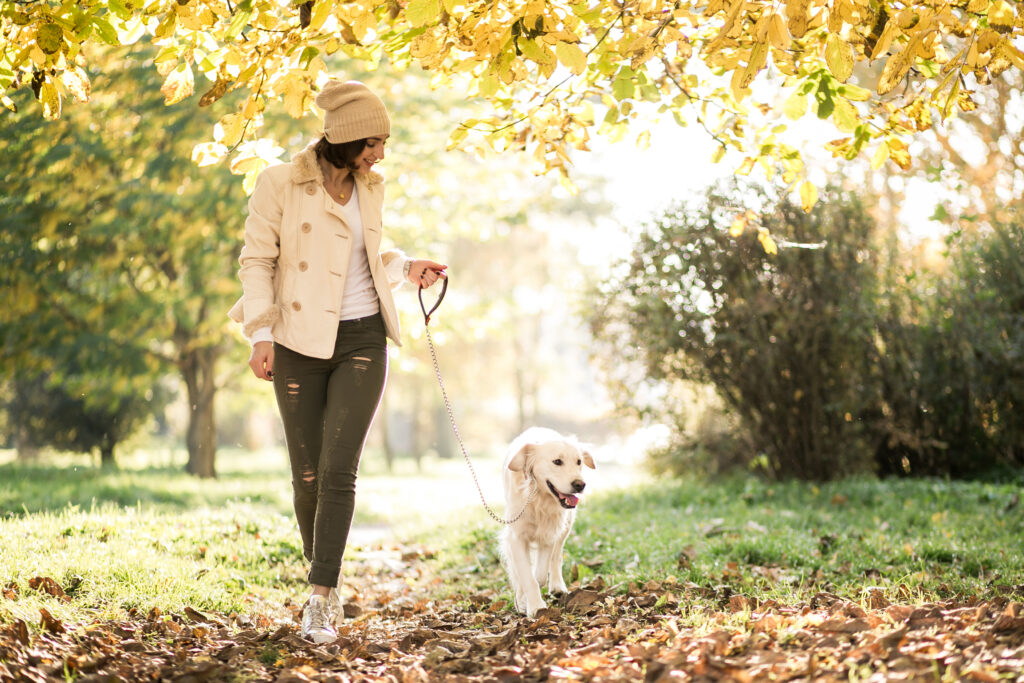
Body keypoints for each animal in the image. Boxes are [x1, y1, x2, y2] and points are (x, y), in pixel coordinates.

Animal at [499, 428, 598, 618]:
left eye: (579, 461)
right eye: (557, 462)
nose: (580, 485)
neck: (538, 497)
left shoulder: (549, 532)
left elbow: (538, 576)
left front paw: (529, 601)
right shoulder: (516, 536)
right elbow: (525, 575)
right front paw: (533, 606)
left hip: (566, 526)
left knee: (556, 557)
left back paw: (557, 586)